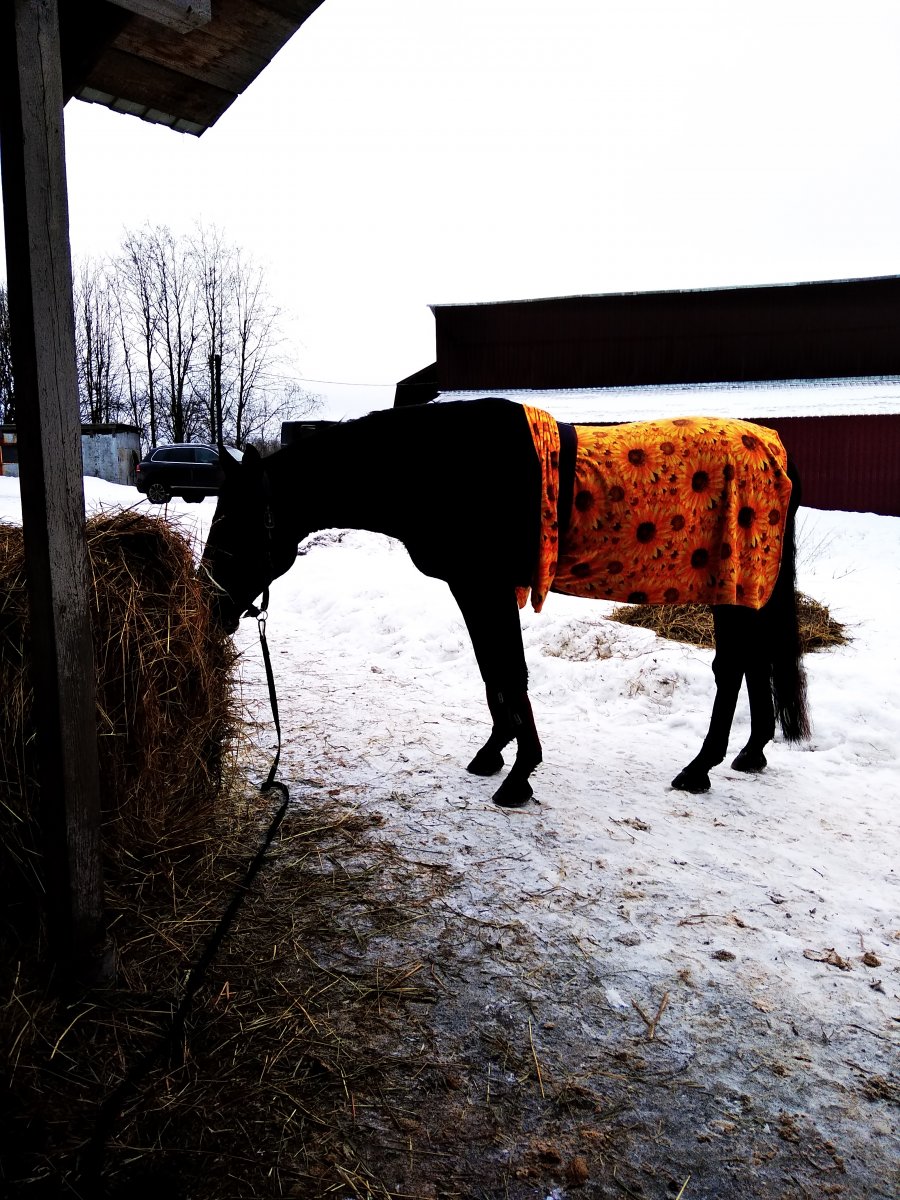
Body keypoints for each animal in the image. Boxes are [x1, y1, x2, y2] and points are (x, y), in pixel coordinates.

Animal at [201, 397, 809, 808]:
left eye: (231, 524)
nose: (212, 609)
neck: (440, 469)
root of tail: (774, 448)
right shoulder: (470, 588)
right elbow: (490, 668)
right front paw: (495, 753)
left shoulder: (484, 586)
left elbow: (509, 670)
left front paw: (520, 775)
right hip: (747, 591)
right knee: (754, 662)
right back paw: (751, 753)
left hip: (731, 585)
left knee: (731, 667)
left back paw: (699, 768)